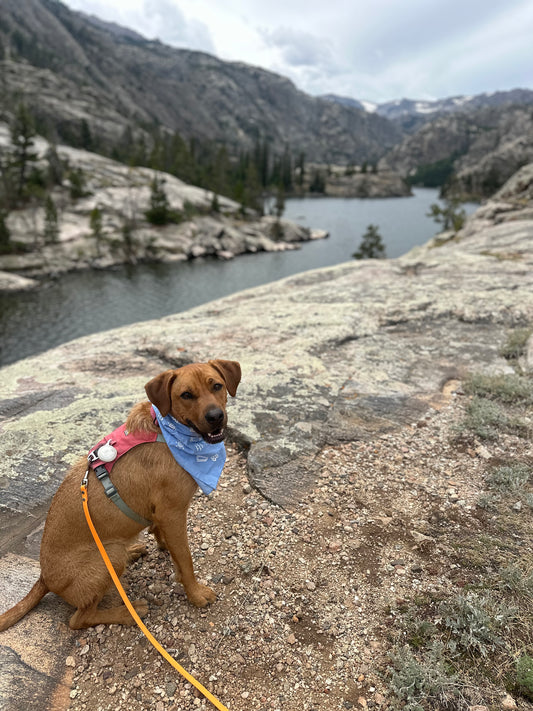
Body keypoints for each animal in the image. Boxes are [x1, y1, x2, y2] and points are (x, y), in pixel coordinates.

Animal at [0, 358, 241, 632]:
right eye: (186, 395)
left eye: (217, 386)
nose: (216, 417)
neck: (168, 433)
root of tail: (44, 578)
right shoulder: (172, 514)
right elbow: (186, 560)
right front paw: (196, 594)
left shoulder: (162, 515)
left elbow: (165, 540)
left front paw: (164, 548)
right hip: (109, 557)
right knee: (79, 619)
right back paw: (128, 612)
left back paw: (133, 551)